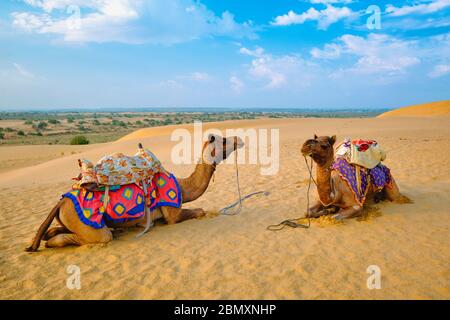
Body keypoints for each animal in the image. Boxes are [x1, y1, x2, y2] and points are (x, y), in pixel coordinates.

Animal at [26, 134, 244, 251]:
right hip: (90, 226)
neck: (183, 186)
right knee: (96, 236)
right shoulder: (172, 214)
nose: (239, 139)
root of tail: (61, 201)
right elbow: (200, 211)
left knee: (53, 231)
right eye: (224, 141)